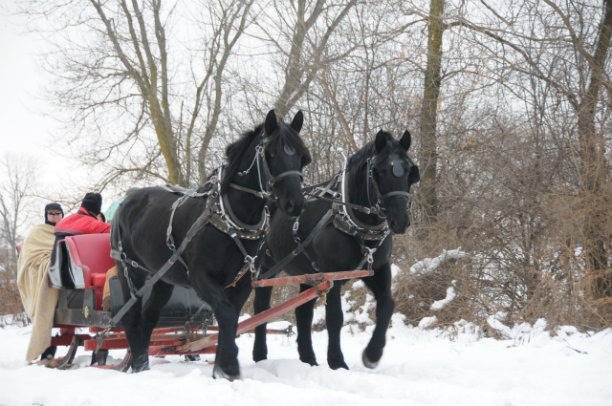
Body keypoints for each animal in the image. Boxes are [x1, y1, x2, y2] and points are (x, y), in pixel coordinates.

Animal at [110, 109, 310, 380]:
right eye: (272, 153)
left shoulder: (242, 282)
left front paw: (220, 370)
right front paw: (230, 366)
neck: (233, 218)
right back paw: (139, 366)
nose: (295, 203)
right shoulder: (201, 278)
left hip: (162, 278)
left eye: (302, 157)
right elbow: (226, 314)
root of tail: (127, 200)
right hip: (130, 270)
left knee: (149, 317)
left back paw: (143, 366)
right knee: (132, 318)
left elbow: (231, 319)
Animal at [251, 131, 418, 372]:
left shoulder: (377, 268)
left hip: (309, 274)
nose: (401, 220)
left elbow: (387, 305)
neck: (354, 221)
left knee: (303, 313)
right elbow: (335, 317)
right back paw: (260, 355)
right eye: (380, 170)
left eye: (408, 170)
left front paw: (372, 354)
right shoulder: (332, 274)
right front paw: (337, 362)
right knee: (262, 308)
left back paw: (308, 359)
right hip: (266, 266)